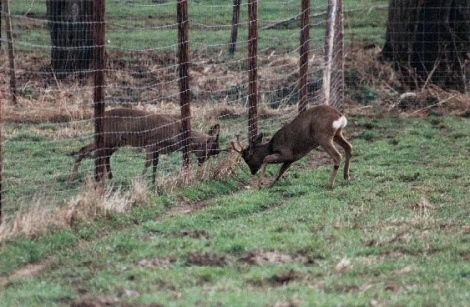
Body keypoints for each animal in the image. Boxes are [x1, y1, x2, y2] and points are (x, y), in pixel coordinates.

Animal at [69, 109, 223, 185]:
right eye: (212, 149)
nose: (202, 163)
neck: (178, 135)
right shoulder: (151, 143)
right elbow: (148, 163)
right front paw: (141, 180)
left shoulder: (156, 149)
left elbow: (155, 164)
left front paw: (153, 182)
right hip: (108, 138)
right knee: (84, 149)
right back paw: (73, 177)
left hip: (114, 142)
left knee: (104, 155)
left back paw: (110, 178)